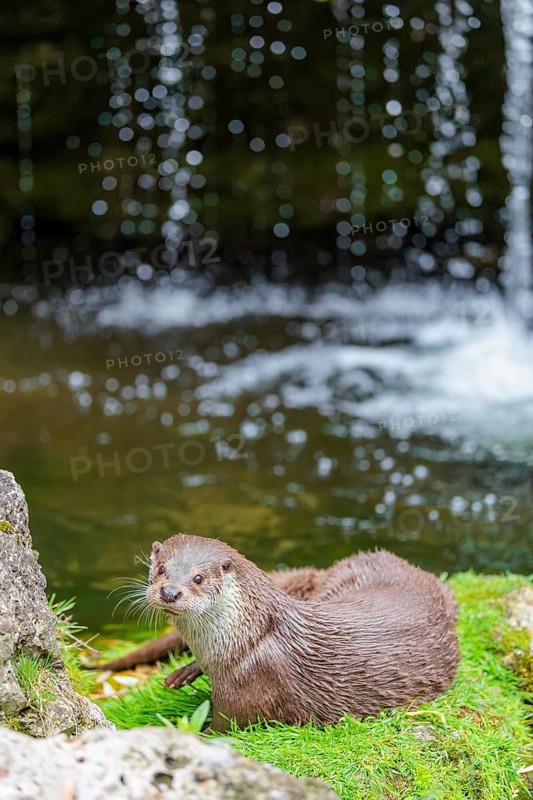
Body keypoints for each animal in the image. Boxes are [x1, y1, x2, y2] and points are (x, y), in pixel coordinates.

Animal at [144, 534, 458, 731]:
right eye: (160, 569)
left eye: (198, 578)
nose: (170, 592)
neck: (244, 640)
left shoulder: (249, 686)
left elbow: (221, 730)